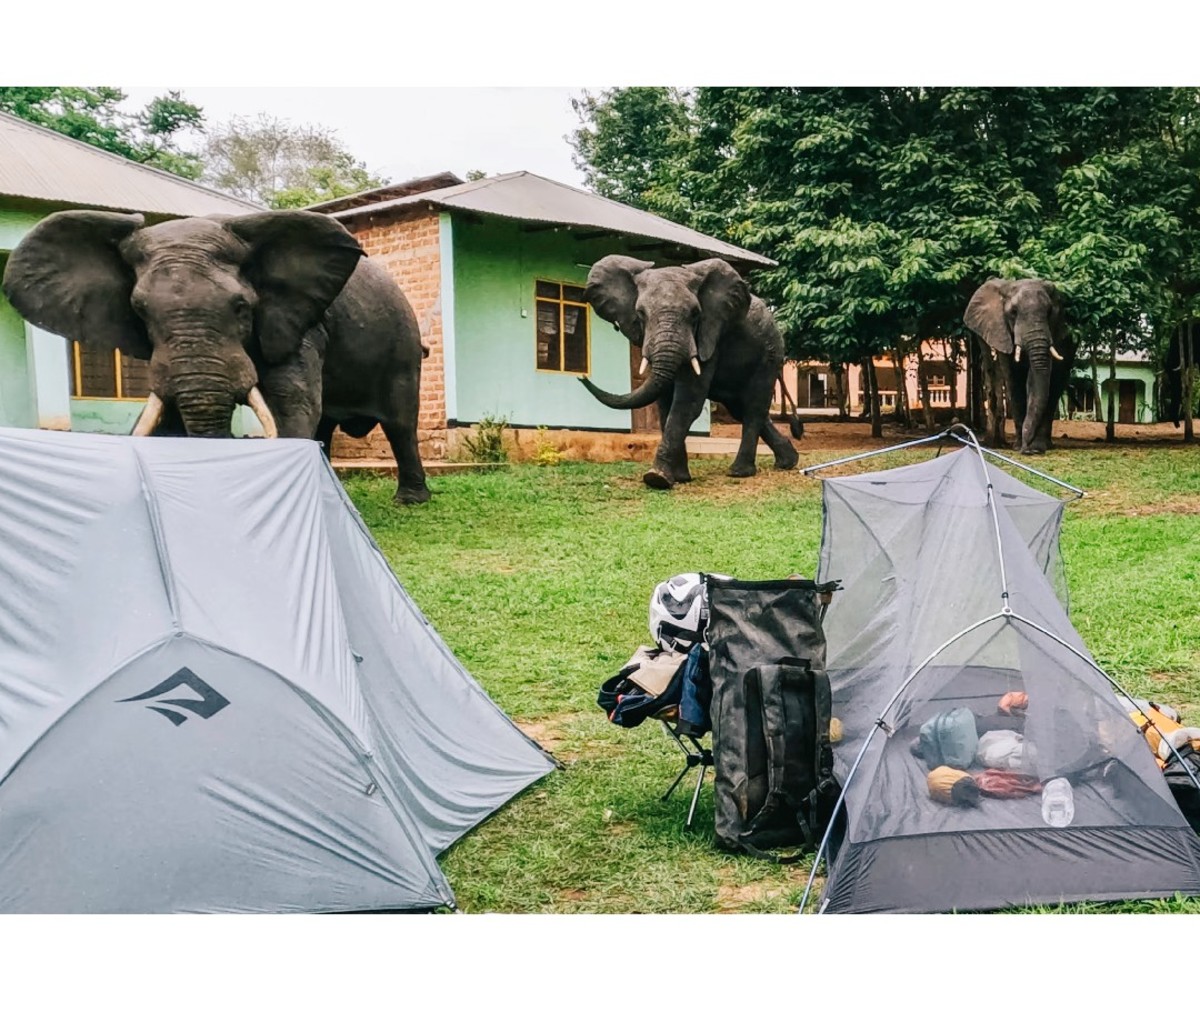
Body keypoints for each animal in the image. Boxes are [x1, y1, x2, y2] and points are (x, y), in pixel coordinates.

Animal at [0, 209, 432, 506]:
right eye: (140, 311)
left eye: (241, 307)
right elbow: (169, 419)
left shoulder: (299, 324)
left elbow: (290, 405)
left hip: (402, 345)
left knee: (399, 424)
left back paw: (409, 501)